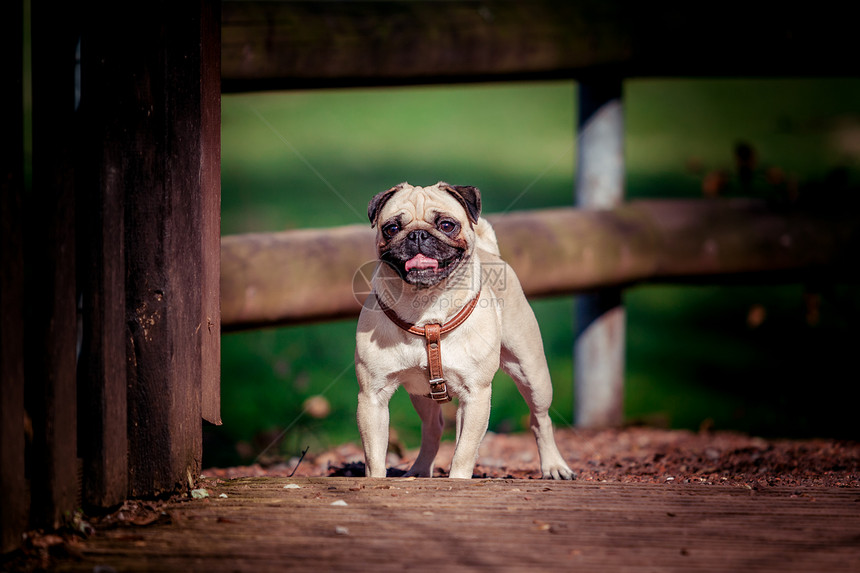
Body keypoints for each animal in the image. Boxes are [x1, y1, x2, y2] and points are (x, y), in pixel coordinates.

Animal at [352, 182, 576, 478]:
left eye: (447, 225)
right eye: (391, 228)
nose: (417, 234)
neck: (426, 309)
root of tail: (491, 252)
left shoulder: (476, 395)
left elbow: (464, 452)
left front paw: (458, 480)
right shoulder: (372, 398)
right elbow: (375, 456)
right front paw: (375, 481)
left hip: (532, 374)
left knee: (540, 419)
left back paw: (554, 466)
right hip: (421, 393)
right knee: (432, 428)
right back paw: (420, 470)